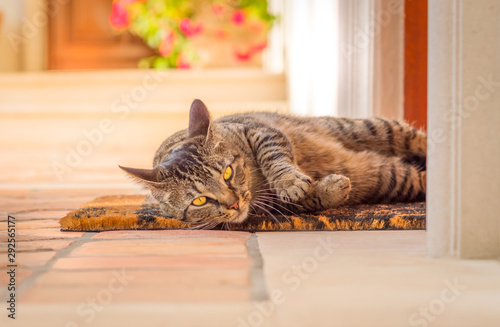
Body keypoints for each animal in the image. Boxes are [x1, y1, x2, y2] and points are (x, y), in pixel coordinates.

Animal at [120, 99, 426, 228]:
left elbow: (275, 159)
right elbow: (305, 200)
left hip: (375, 129)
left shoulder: (261, 132)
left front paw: (290, 182)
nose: (234, 204)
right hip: (397, 178)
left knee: (419, 139)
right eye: (199, 201)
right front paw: (330, 188)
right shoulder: (273, 207)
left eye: (228, 173)